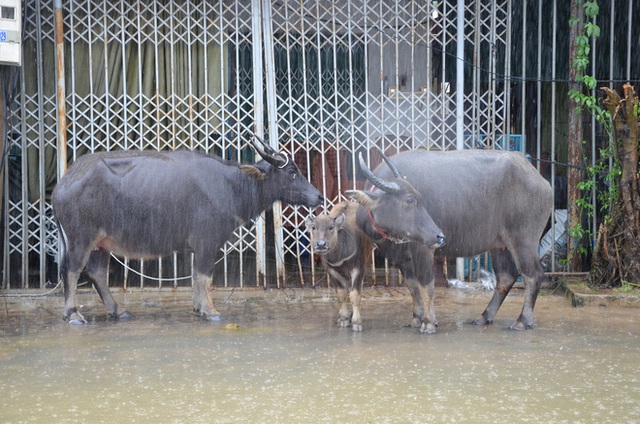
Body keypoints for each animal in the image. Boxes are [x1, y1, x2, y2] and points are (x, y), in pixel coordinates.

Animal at [53, 137, 324, 322]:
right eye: (292, 172)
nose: (319, 196)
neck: (232, 186)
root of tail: (63, 184)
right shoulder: (207, 243)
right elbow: (205, 276)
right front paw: (210, 310)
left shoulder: (199, 247)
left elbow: (196, 277)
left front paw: (198, 307)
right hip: (81, 238)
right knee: (72, 270)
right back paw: (73, 314)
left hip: (102, 243)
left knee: (97, 272)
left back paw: (117, 310)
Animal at [348, 147, 552, 332]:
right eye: (409, 200)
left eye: (417, 198)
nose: (439, 235)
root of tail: (541, 181)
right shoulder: (402, 258)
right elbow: (412, 286)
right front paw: (416, 318)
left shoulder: (423, 250)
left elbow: (426, 286)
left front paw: (429, 322)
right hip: (499, 244)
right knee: (506, 277)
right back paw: (484, 317)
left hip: (523, 241)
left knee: (533, 274)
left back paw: (522, 321)